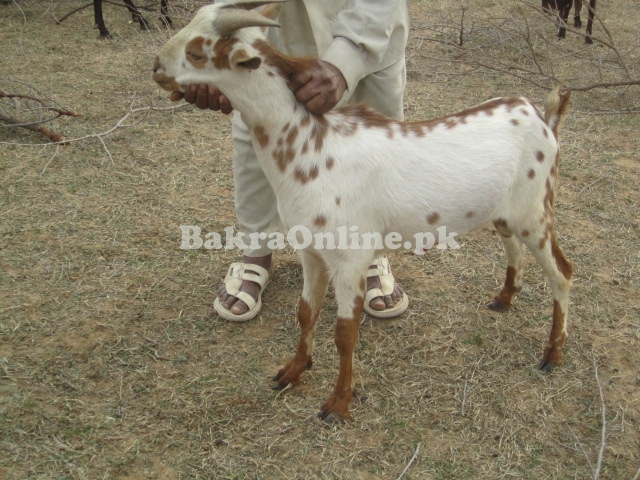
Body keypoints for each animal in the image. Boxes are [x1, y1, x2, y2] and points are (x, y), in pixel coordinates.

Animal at [154, 0, 576, 422]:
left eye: (197, 52)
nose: (156, 67)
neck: (311, 150)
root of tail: (543, 117)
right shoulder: (311, 252)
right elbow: (306, 312)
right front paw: (293, 371)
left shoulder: (350, 259)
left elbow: (345, 333)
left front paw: (338, 403)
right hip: (505, 212)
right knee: (513, 246)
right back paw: (504, 299)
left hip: (537, 211)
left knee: (562, 272)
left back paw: (553, 354)